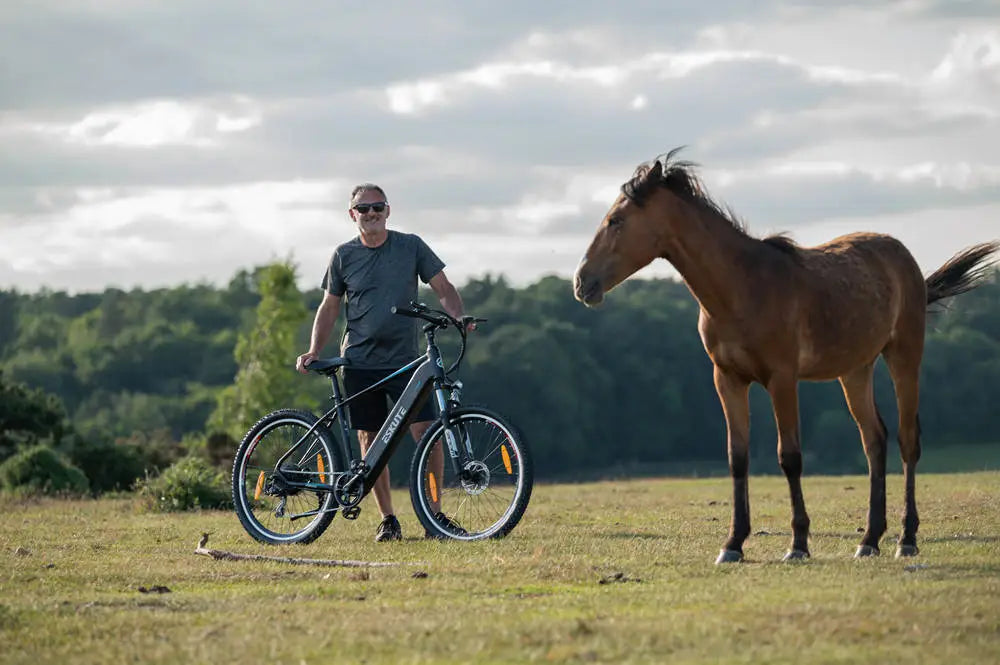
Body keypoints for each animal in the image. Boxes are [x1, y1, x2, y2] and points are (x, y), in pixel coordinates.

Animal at [576, 149, 996, 560]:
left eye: (616, 220)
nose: (582, 282)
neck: (742, 288)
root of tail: (901, 255)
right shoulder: (727, 379)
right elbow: (737, 457)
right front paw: (733, 544)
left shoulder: (782, 379)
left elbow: (789, 456)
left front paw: (798, 544)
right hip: (855, 370)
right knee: (874, 439)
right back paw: (869, 540)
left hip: (904, 356)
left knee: (908, 440)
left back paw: (905, 539)